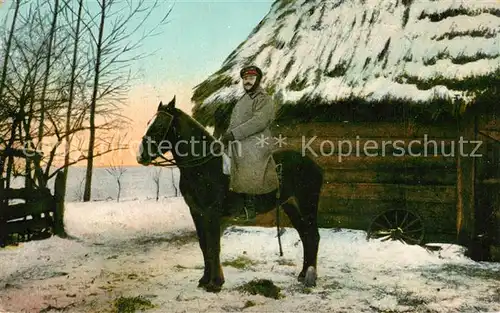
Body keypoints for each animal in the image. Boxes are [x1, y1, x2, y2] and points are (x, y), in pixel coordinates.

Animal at [137, 96, 324, 292]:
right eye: (148, 123)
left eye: (159, 125)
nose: (140, 155)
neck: (203, 167)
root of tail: (313, 165)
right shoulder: (197, 212)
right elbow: (204, 246)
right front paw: (205, 280)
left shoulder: (211, 213)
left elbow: (213, 247)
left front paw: (215, 283)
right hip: (290, 205)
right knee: (305, 236)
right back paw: (303, 274)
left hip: (307, 204)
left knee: (313, 236)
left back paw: (310, 277)